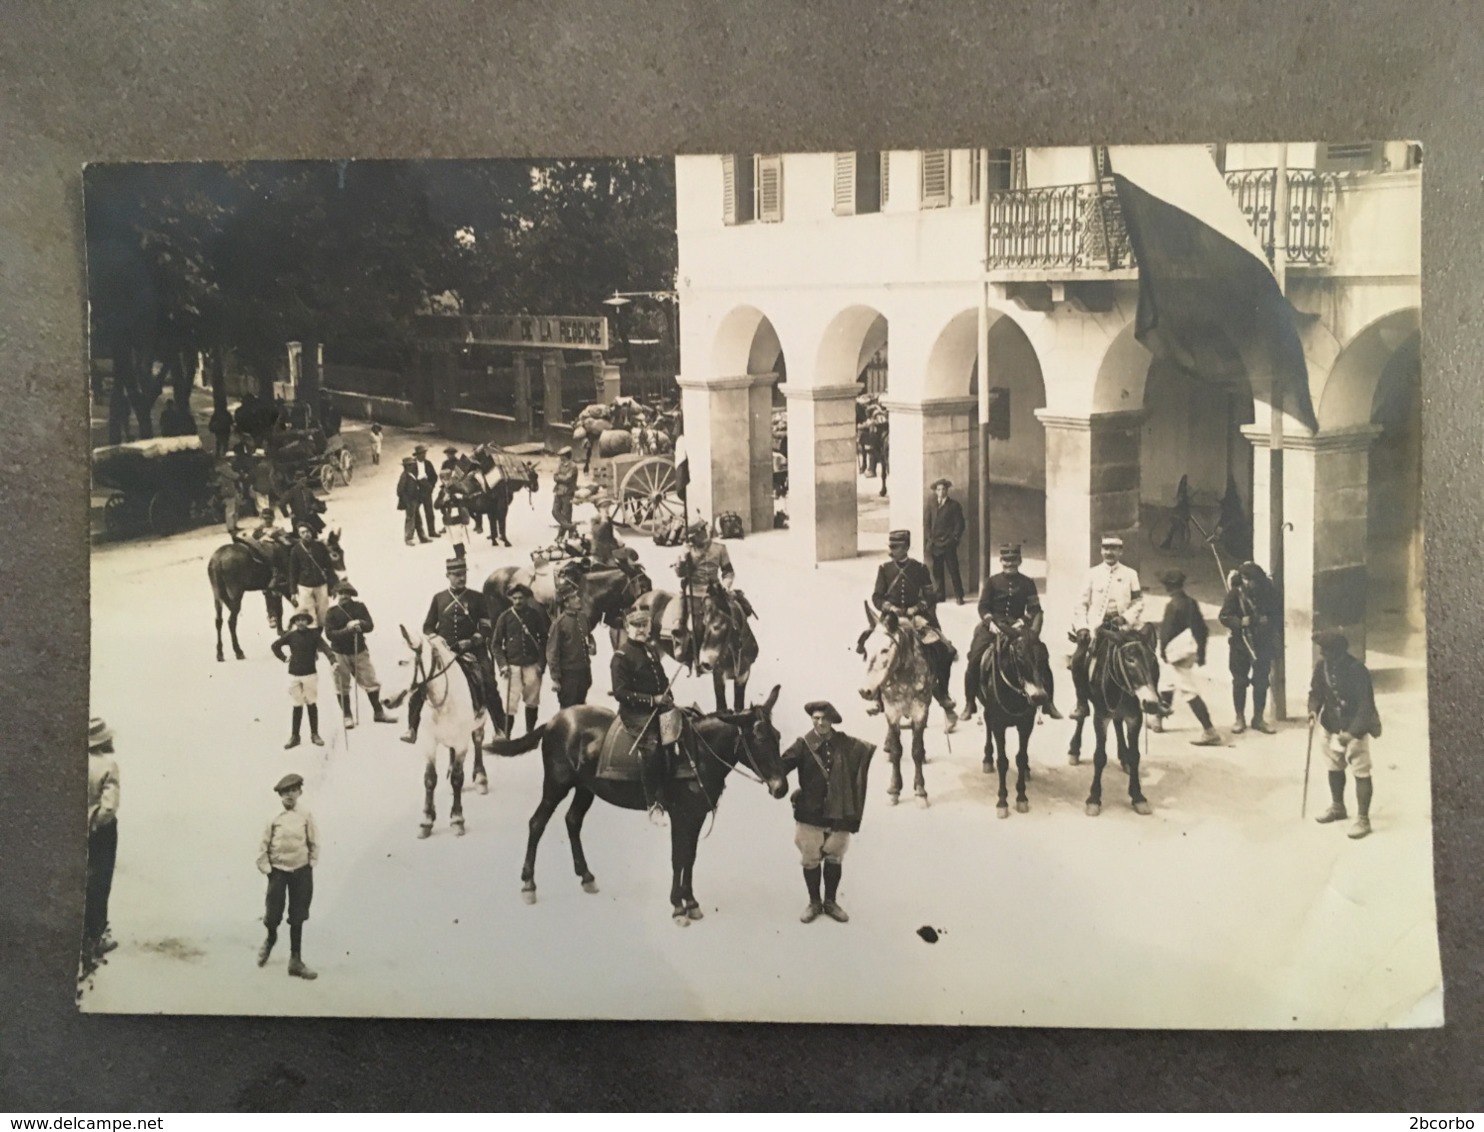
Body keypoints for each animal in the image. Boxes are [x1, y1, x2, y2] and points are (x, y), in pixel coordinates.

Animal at [206, 534, 344, 664]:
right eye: (335, 555)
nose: (340, 576)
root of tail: (218, 559)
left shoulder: (275, 590)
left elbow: (278, 609)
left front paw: (281, 630)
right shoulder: (286, 588)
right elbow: (287, 609)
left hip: (217, 596)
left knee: (218, 621)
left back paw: (220, 653)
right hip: (236, 595)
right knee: (231, 621)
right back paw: (238, 651)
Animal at [397, 629, 489, 842]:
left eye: (404, 662)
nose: (386, 700)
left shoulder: (462, 742)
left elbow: (457, 777)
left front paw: (457, 820)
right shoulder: (429, 742)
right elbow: (430, 779)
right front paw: (426, 820)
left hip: (478, 725)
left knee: (478, 741)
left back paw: (481, 779)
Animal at [486, 685, 789, 925]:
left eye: (777, 735)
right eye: (759, 738)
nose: (782, 788)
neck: (698, 752)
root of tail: (554, 720)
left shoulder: (696, 815)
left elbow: (690, 857)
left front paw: (690, 902)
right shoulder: (681, 815)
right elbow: (678, 857)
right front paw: (677, 906)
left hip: (586, 788)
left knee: (572, 821)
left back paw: (586, 876)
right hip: (555, 786)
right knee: (536, 823)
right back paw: (529, 883)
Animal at [1074, 623, 1163, 818]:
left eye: (1153, 661)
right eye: (1130, 660)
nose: (1151, 704)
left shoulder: (1135, 718)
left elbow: (1136, 755)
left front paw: (1138, 796)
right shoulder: (1100, 717)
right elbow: (1099, 757)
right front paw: (1094, 798)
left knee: (1117, 724)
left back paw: (1124, 757)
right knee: (1081, 715)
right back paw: (1074, 750)